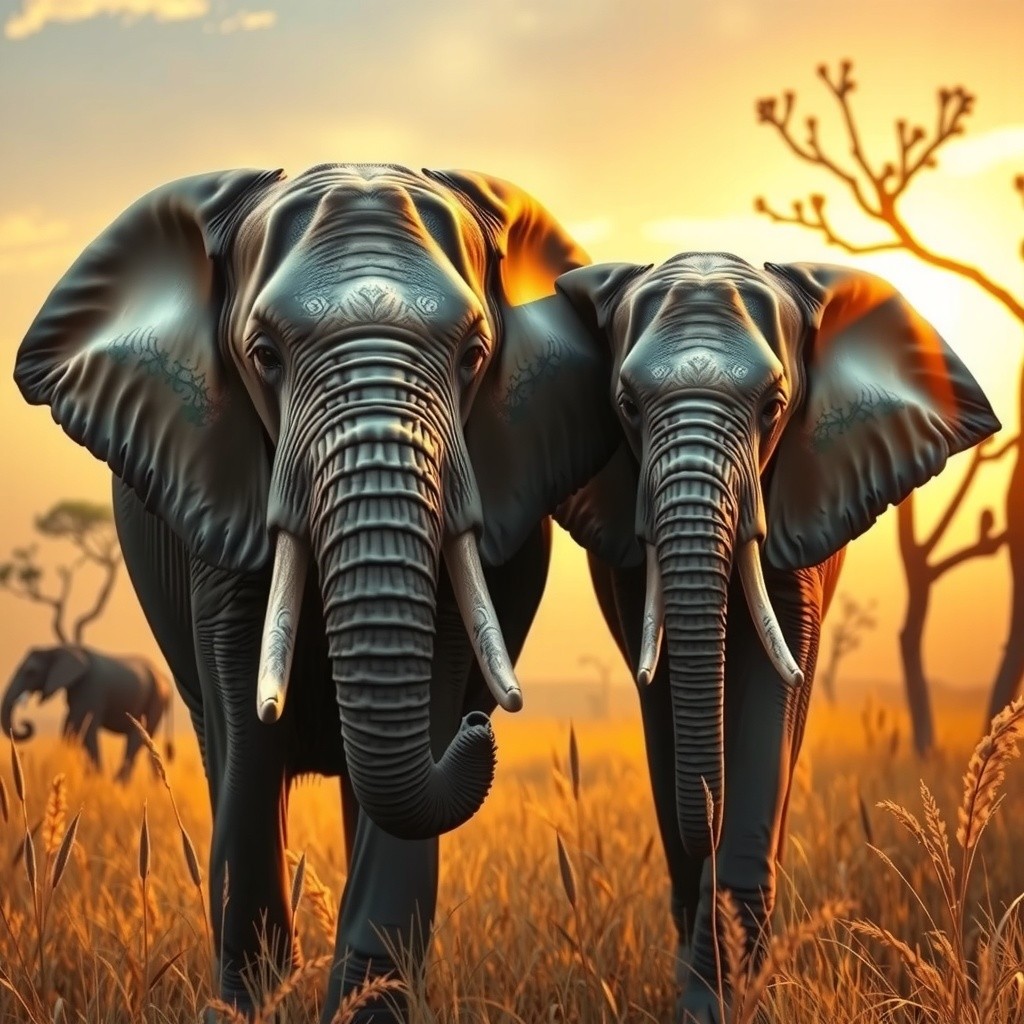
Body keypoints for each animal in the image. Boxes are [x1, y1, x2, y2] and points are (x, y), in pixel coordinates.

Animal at [1, 644, 172, 783]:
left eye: (31, 672)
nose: (26, 724)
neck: (60, 649)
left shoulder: (90, 687)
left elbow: (87, 729)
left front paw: (96, 781)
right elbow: (70, 728)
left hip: (156, 699)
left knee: (136, 738)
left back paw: (119, 785)